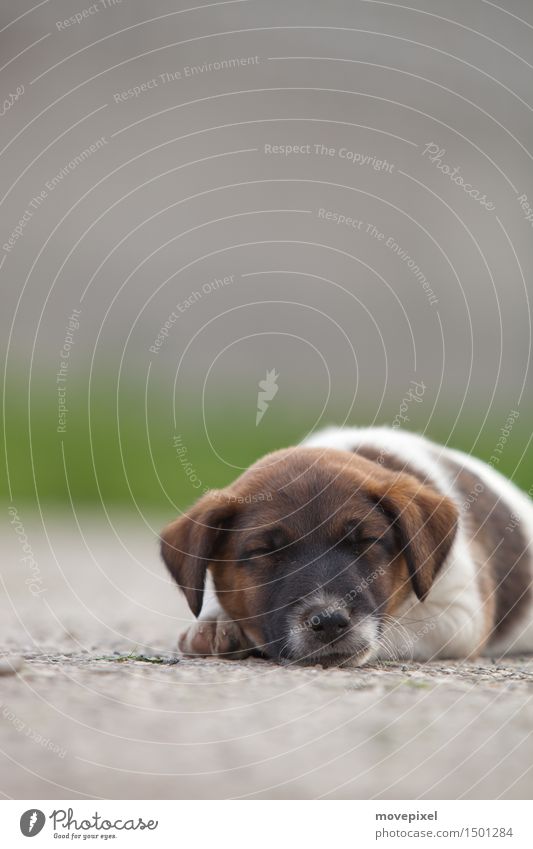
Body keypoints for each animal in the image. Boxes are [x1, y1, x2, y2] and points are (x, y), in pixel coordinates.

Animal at [159, 428, 532, 664]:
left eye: (365, 541)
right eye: (265, 552)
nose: (328, 622)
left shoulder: (460, 614)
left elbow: (392, 629)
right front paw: (216, 621)